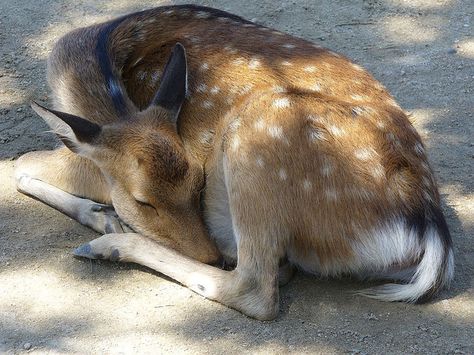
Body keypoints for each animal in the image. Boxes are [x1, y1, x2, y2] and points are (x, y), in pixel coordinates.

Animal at [13, 4, 452, 322]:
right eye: (143, 201)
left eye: (198, 181)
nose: (206, 253)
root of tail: (428, 230)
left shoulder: (86, 166)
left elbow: (18, 165)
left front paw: (104, 219)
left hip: (257, 135)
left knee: (255, 288)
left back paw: (108, 245)